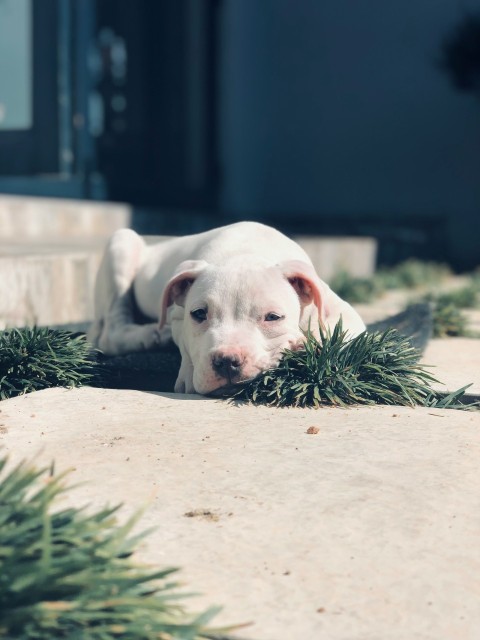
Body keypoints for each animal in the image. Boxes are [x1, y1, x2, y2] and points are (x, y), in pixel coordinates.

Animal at [87, 224, 364, 396]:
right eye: (199, 314)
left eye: (273, 318)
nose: (227, 361)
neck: (246, 250)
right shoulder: (177, 315)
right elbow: (186, 344)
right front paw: (189, 375)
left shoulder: (342, 309)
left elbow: (344, 334)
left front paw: (314, 345)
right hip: (122, 245)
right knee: (111, 333)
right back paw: (151, 336)